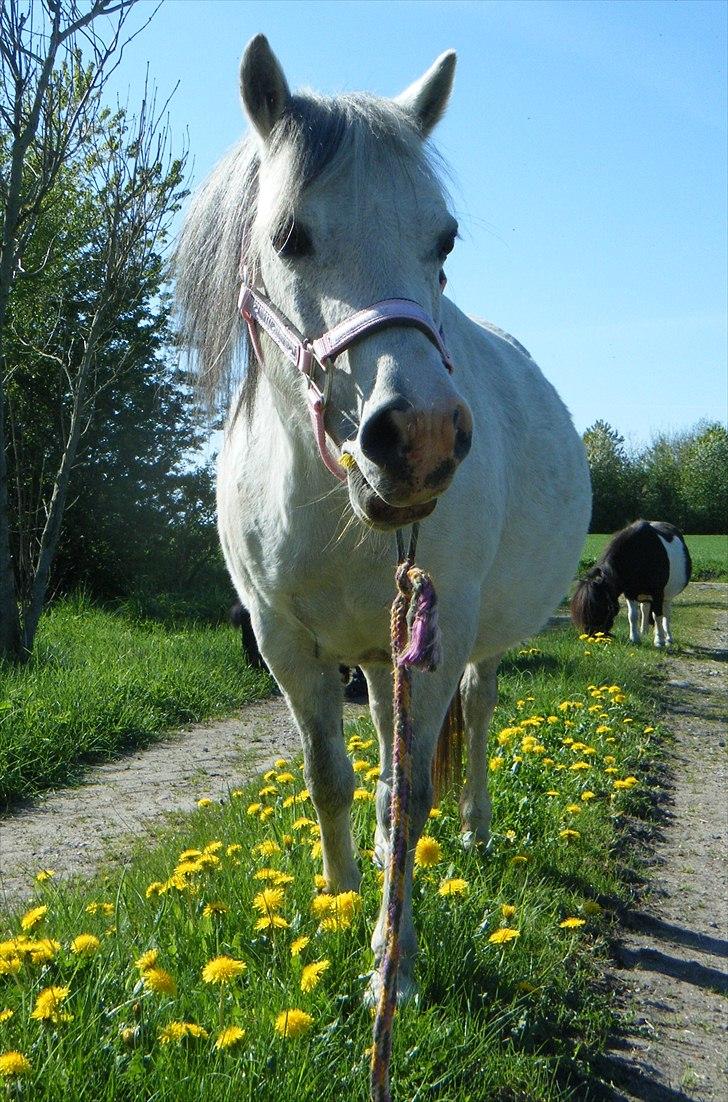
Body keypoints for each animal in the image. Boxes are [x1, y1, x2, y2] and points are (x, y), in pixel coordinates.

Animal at [176, 36, 590, 1000]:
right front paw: (335, 904)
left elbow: (410, 798)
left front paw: (389, 969)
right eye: (290, 235)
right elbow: (331, 777)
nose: (421, 436)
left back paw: (476, 829)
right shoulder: (286, 644)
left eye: (443, 240)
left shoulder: (438, 637)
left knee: (476, 715)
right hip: (376, 653)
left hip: (471, 645)